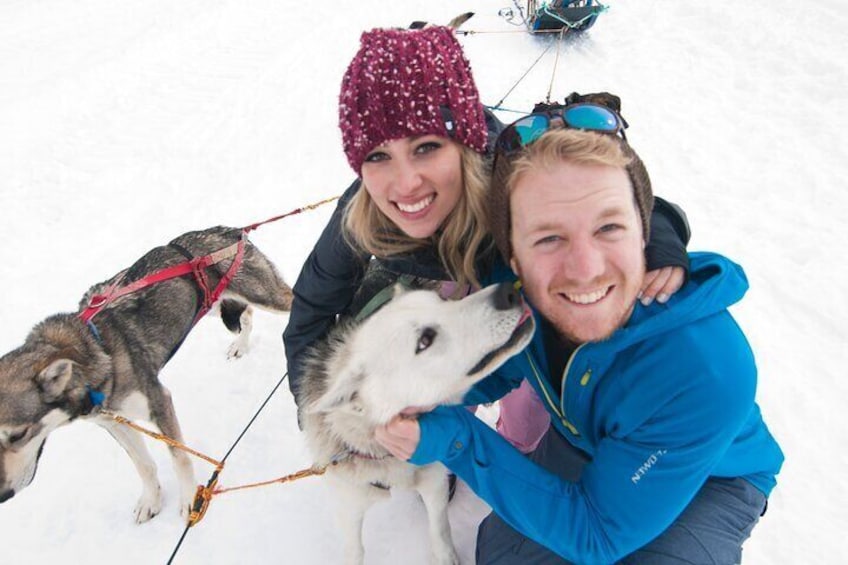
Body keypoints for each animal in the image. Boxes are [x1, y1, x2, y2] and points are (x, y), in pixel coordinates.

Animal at [0, 224, 294, 520]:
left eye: (18, 435)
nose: (3, 495)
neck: (93, 351)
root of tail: (229, 230)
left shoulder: (159, 403)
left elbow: (180, 458)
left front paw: (189, 498)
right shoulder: (114, 422)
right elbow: (142, 464)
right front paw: (151, 499)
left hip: (265, 297)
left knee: (290, 299)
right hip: (212, 304)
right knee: (246, 315)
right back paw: (240, 345)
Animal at [302, 282, 532, 564]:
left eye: (442, 299)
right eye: (425, 340)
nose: (507, 291)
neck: (388, 459)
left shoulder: (434, 483)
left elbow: (440, 530)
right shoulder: (349, 508)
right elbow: (354, 551)